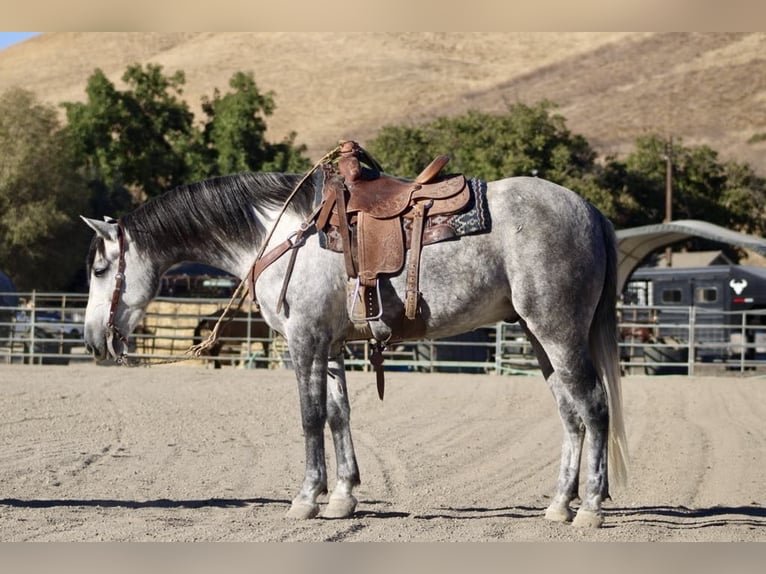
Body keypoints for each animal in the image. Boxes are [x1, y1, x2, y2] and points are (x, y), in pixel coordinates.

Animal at [81, 169, 632, 528]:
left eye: (100, 269)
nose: (93, 340)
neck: (282, 235)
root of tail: (589, 211)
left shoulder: (303, 341)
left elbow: (309, 417)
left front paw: (307, 499)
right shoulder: (330, 346)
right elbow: (337, 415)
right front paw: (343, 498)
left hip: (558, 332)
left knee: (594, 407)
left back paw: (589, 509)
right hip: (540, 339)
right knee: (571, 415)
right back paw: (559, 505)